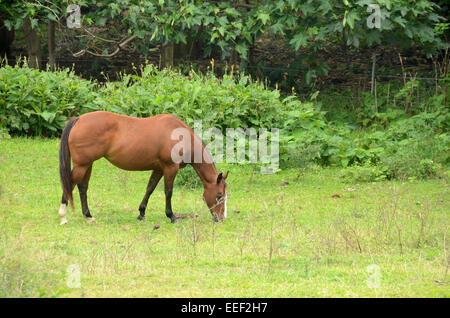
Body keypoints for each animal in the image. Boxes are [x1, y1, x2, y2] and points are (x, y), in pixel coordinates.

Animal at [59, 110, 229, 225]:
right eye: (219, 195)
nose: (221, 218)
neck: (180, 136)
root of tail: (79, 119)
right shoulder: (170, 168)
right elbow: (168, 192)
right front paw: (172, 216)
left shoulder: (159, 169)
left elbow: (150, 188)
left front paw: (141, 213)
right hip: (82, 165)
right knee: (70, 184)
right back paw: (63, 216)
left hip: (88, 164)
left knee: (82, 187)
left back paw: (88, 215)